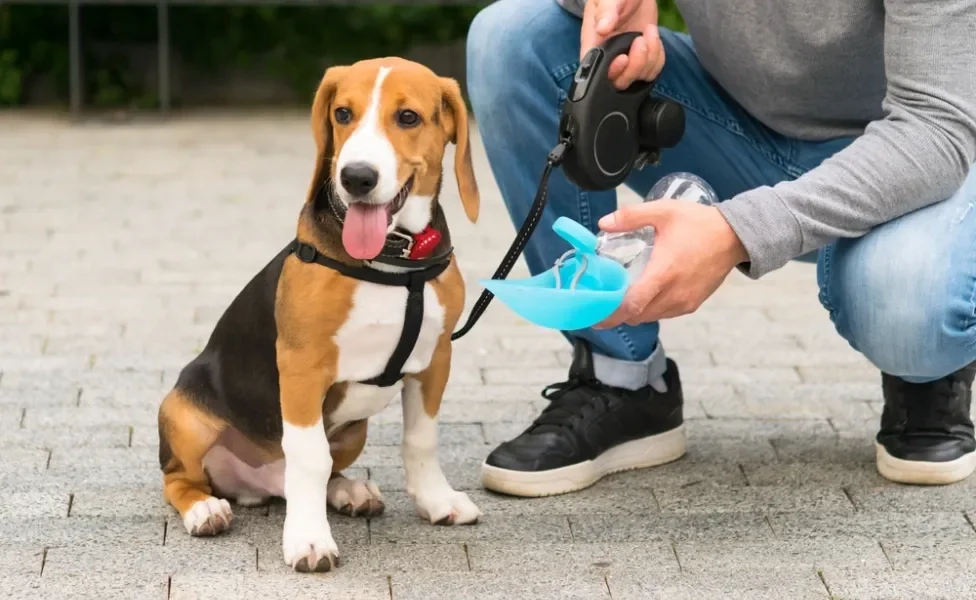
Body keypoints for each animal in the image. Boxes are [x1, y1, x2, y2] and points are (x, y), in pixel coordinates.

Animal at [153, 56, 484, 572]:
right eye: (342, 113)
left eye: (408, 117)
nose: (356, 178)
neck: (393, 261)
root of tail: (257, 485)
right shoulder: (303, 369)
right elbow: (309, 457)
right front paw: (309, 540)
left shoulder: (435, 361)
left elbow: (421, 439)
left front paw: (436, 500)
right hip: (183, 413)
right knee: (180, 479)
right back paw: (205, 509)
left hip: (355, 431)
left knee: (322, 472)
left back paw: (348, 491)